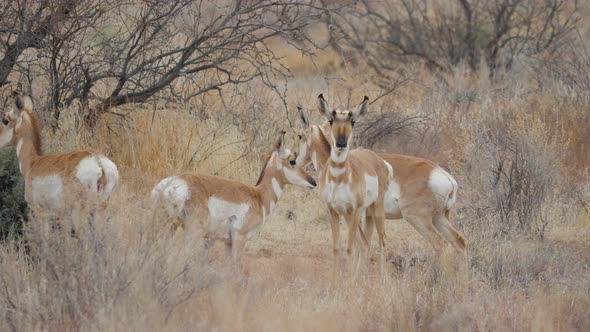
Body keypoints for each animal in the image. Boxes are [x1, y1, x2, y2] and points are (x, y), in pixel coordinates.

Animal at [0, 93, 120, 226]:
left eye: (5, 120)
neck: (33, 162)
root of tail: (98, 162)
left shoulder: (41, 213)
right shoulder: (62, 217)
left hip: (80, 213)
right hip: (100, 210)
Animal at [153, 132, 320, 264]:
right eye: (292, 161)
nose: (313, 182)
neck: (259, 196)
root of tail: (171, 183)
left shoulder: (227, 243)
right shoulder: (239, 239)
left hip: (166, 226)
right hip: (191, 231)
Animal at [296, 104, 468, 256]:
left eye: (300, 136)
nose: (294, 161)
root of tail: (445, 176)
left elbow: (359, 246)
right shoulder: (368, 217)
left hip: (418, 219)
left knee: (439, 244)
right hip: (439, 218)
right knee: (460, 242)